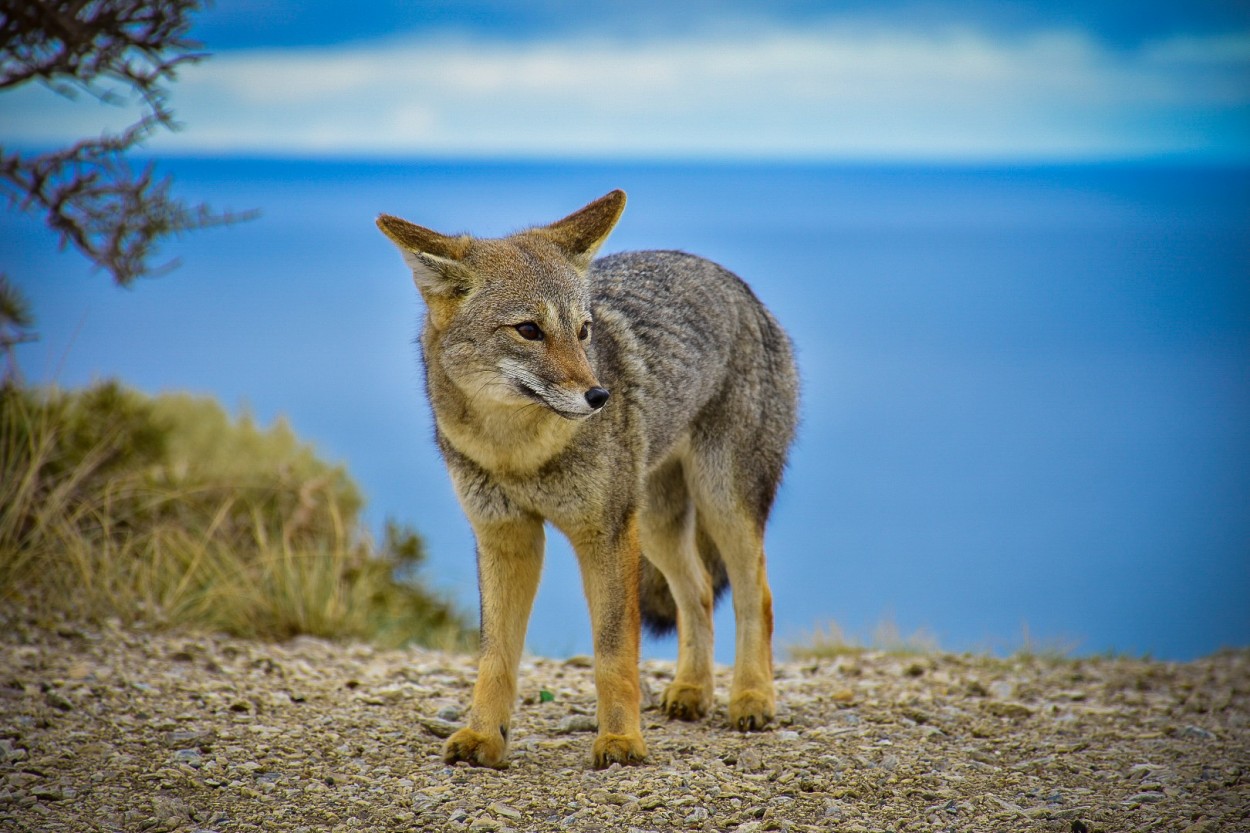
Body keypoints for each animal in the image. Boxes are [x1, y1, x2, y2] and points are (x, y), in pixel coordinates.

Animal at [375, 187, 795, 765]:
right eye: (529, 330)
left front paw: (620, 740)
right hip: (656, 524)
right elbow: (495, 655)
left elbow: (614, 652)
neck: (517, 453)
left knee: (759, 596)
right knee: (699, 594)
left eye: (583, 330)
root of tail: (737, 283)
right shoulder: (505, 537)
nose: (600, 396)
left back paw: (752, 698)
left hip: (718, 504)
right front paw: (484, 735)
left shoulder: (605, 534)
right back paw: (691, 691)